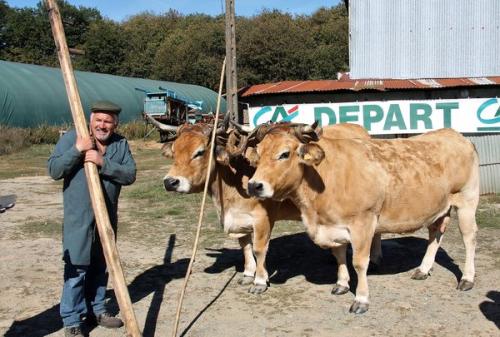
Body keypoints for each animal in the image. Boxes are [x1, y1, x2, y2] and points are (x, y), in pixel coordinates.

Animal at [161, 121, 376, 292]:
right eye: (174, 151)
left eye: (199, 152)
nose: (170, 182)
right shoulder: (240, 219)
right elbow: (245, 246)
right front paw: (248, 274)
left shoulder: (262, 218)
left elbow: (259, 249)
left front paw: (259, 281)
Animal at [248, 125, 478, 312]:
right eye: (258, 154)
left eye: (284, 154)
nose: (253, 185)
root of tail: (454, 134)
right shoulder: (334, 226)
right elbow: (339, 255)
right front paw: (341, 284)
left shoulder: (363, 222)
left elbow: (359, 263)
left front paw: (361, 299)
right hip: (439, 207)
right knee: (435, 233)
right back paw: (423, 269)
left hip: (467, 201)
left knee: (469, 239)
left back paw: (467, 279)